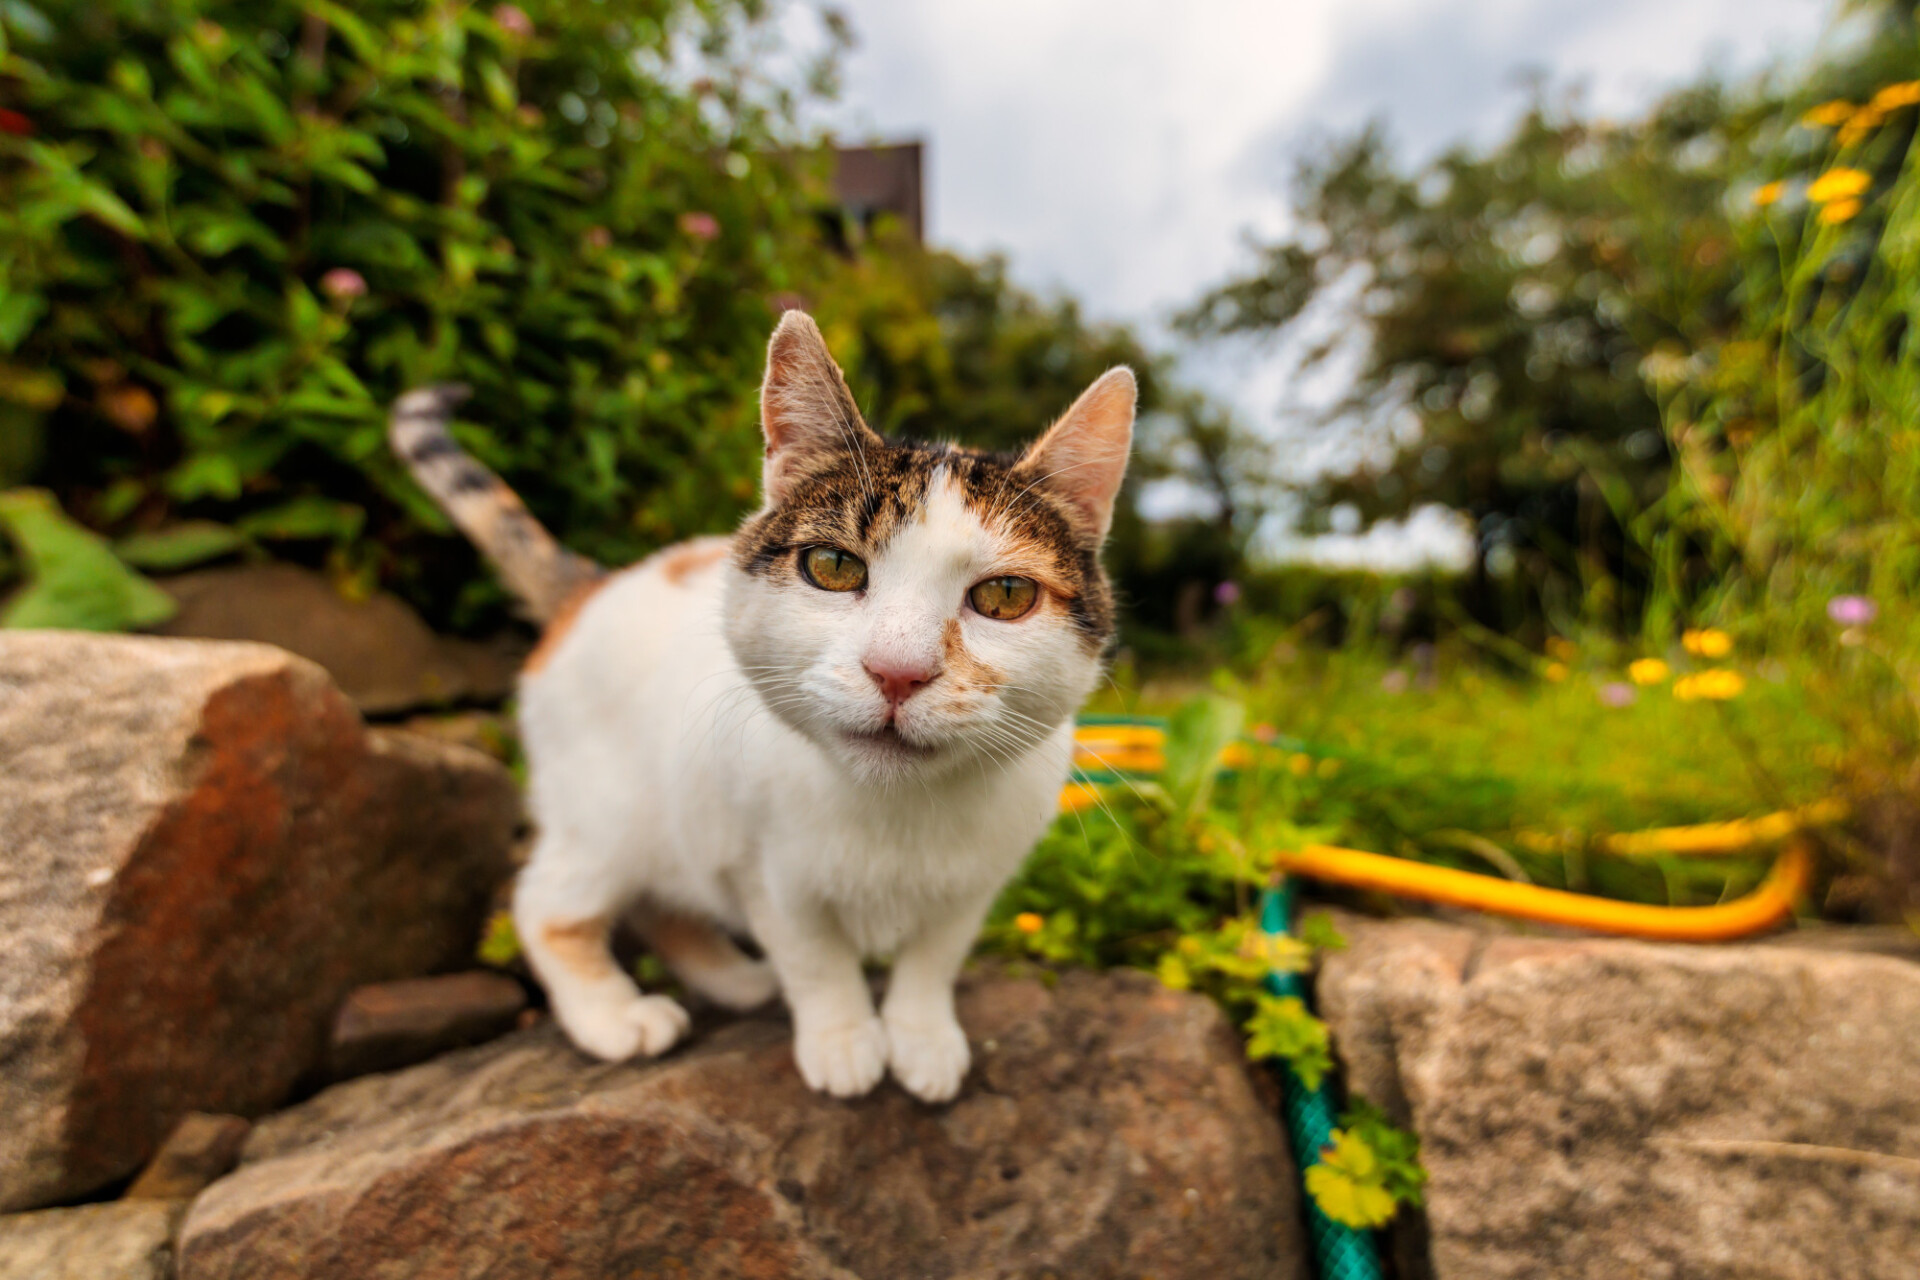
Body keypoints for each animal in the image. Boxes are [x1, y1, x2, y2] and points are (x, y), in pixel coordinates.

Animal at [393, 310, 1136, 1105]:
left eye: (1004, 596)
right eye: (833, 567)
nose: (898, 672)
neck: (895, 810)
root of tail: (593, 587)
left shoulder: (979, 879)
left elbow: (935, 954)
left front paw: (921, 1036)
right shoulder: (762, 869)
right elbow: (815, 957)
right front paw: (844, 1039)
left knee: (659, 902)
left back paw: (736, 981)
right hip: (608, 816)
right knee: (545, 903)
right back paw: (615, 1017)